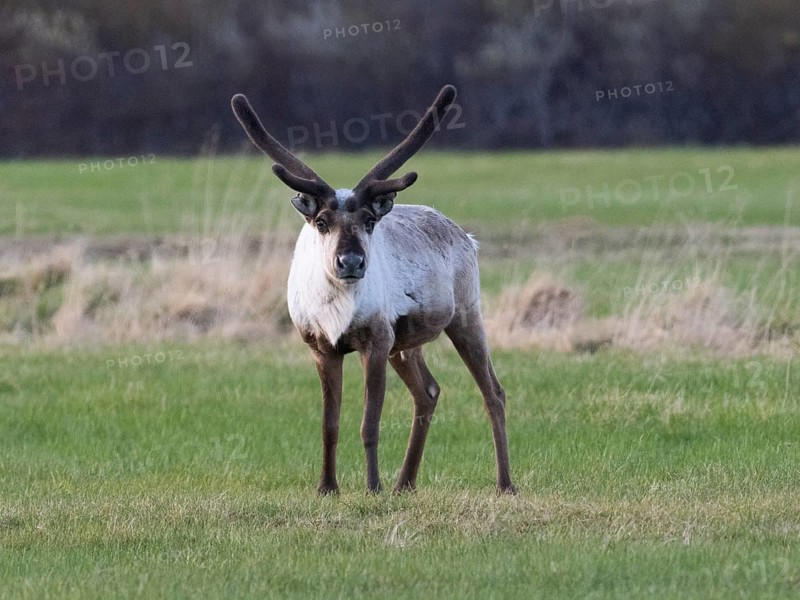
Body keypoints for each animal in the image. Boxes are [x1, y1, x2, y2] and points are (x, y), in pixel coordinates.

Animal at [231, 85, 516, 495]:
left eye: (368, 220)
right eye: (321, 221)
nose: (350, 262)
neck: (336, 314)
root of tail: (468, 237)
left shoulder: (376, 339)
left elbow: (369, 424)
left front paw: (372, 487)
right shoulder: (321, 347)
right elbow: (329, 425)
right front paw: (327, 487)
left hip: (465, 314)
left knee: (492, 390)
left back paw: (504, 484)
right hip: (406, 343)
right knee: (428, 391)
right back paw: (405, 483)